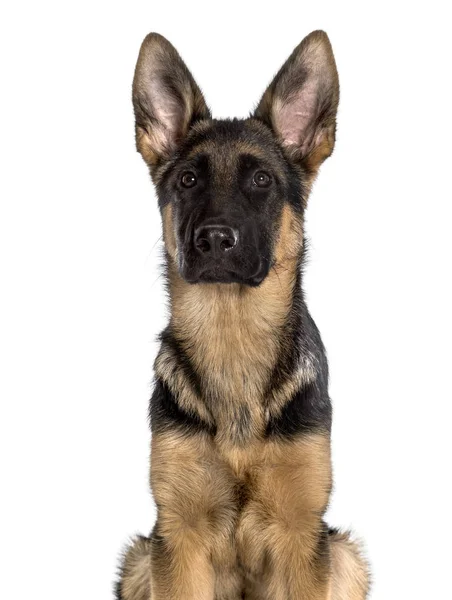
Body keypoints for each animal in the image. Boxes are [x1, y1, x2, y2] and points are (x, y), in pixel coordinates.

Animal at [117, 29, 370, 600]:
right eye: (188, 180)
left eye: (261, 180)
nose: (213, 239)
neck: (232, 337)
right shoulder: (178, 534)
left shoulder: (301, 533)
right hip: (140, 559)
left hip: (344, 554)